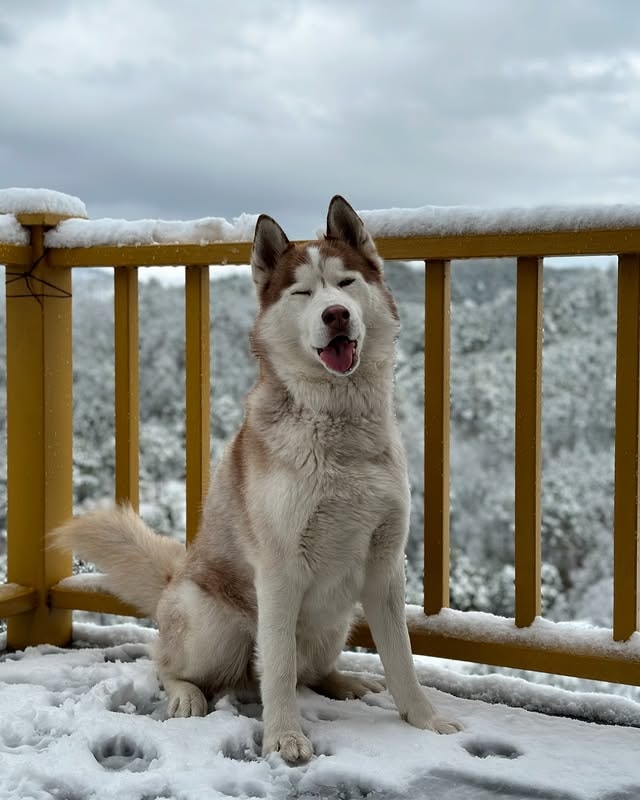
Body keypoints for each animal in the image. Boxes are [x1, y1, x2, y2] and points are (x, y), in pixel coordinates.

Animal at [53, 195, 460, 764]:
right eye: (303, 292)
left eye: (346, 283)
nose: (336, 313)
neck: (339, 426)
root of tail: (173, 578)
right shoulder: (280, 569)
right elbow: (281, 668)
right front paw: (284, 736)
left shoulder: (385, 565)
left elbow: (401, 658)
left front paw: (424, 719)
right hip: (213, 624)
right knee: (170, 665)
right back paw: (185, 693)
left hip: (335, 621)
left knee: (311, 669)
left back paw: (344, 681)